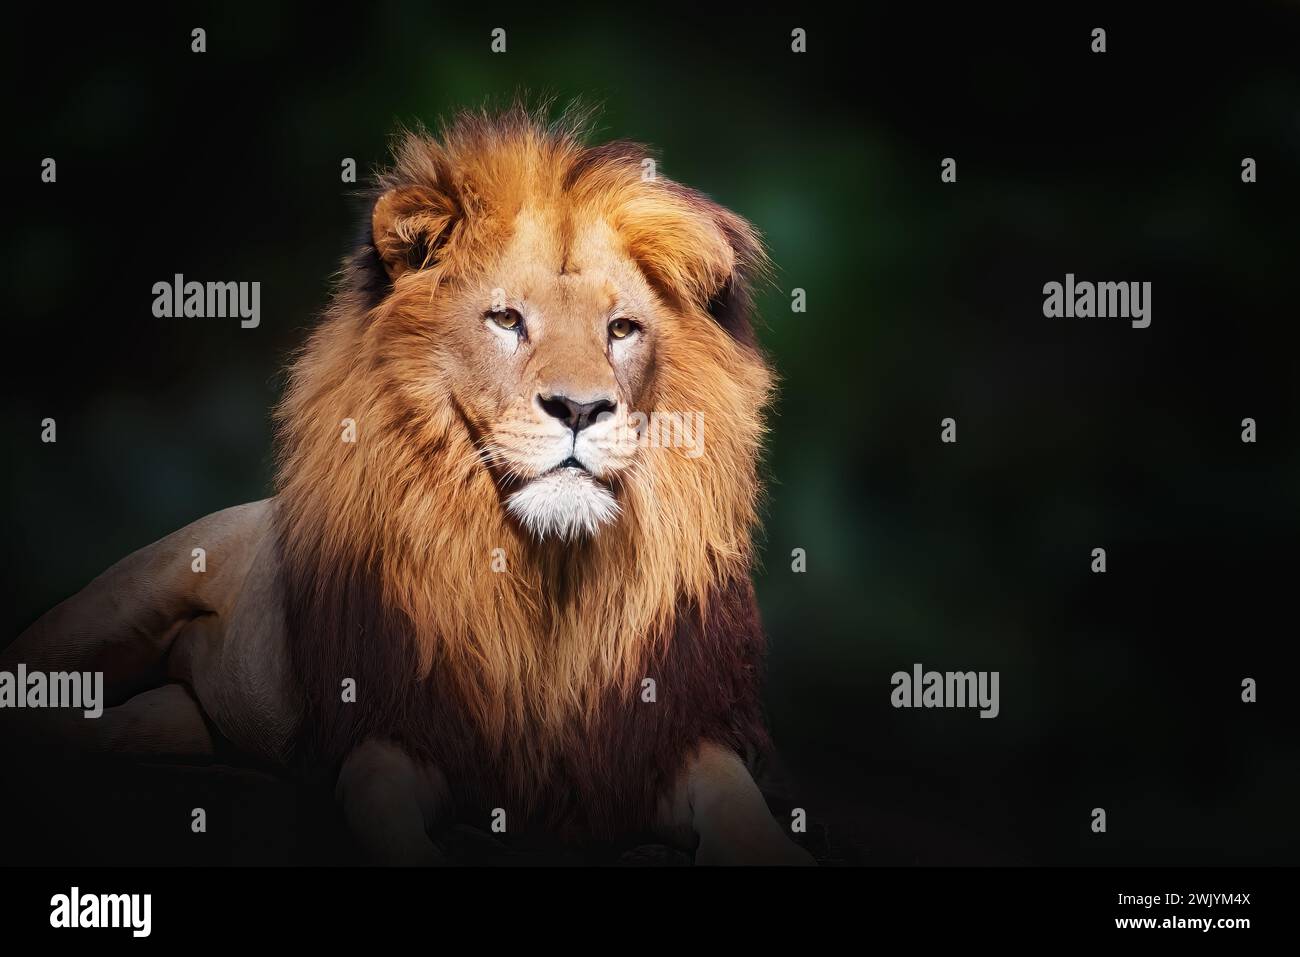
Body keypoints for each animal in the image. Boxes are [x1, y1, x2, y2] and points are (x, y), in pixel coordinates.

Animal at [2, 106, 811, 868]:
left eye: (621, 329)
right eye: (506, 319)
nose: (580, 409)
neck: (548, 569)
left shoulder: (656, 742)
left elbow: (735, 797)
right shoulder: (402, 726)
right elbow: (376, 796)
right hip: (121, 600)